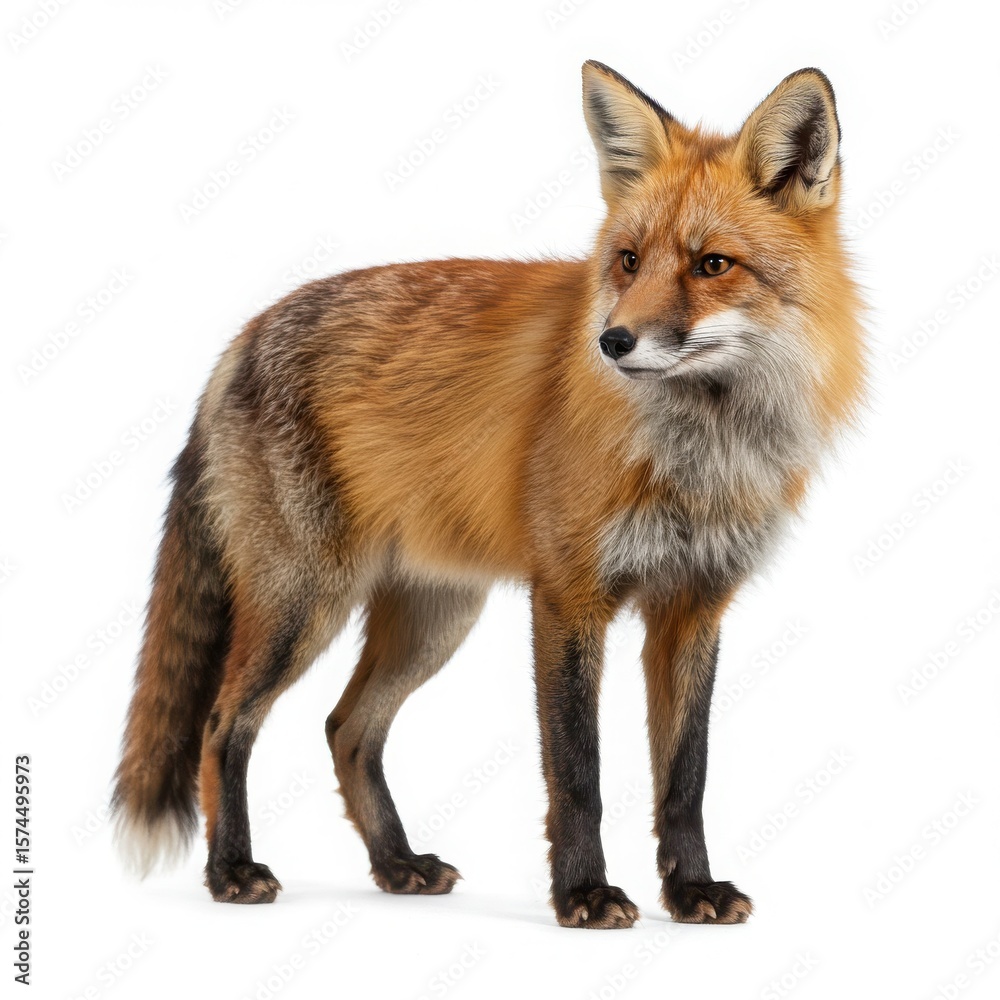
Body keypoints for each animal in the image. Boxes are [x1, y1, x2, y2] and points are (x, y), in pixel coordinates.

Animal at [112, 60, 865, 928]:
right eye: (628, 260)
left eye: (713, 265)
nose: (612, 341)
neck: (699, 453)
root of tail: (241, 336)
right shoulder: (569, 596)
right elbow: (577, 773)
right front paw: (583, 893)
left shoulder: (694, 606)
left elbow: (686, 778)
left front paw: (690, 891)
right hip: (304, 602)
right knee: (221, 724)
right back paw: (232, 869)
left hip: (434, 618)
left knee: (346, 728)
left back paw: (396, 864)